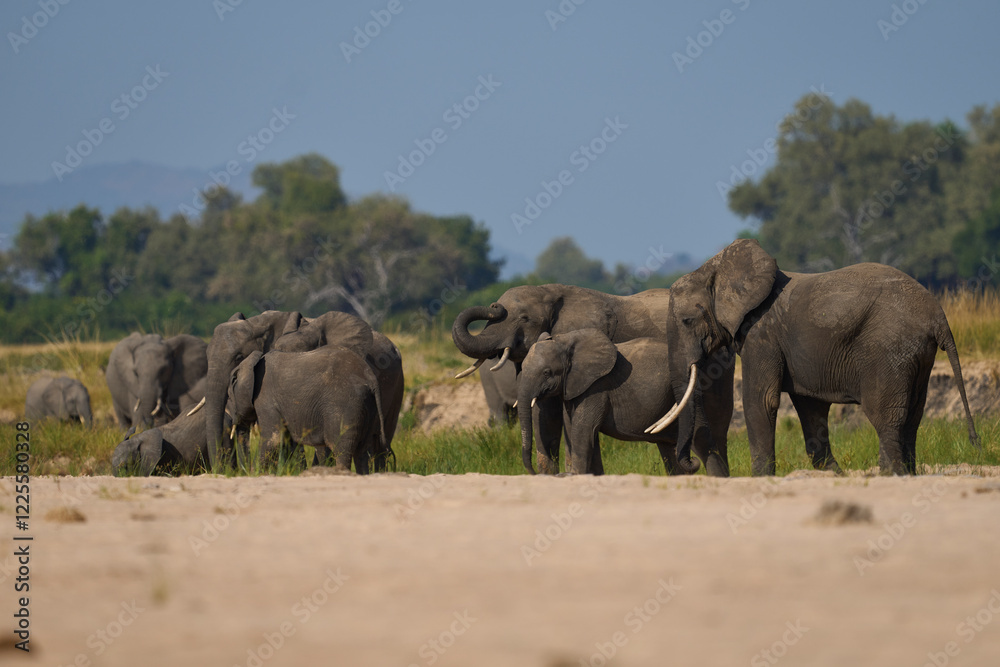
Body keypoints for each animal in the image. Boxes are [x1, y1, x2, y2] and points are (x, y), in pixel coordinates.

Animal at [228, 347, 387, 473]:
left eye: (229, 398)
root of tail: (370, 378)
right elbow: (287, 440)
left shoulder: (265, 399)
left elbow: (273, 439)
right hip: (368, 407)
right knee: (362, 452)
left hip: (345, 405)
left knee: (342, 450)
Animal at [518, 329, 694, 475]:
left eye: (546, 373)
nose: (534, 473)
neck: (566, 340)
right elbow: (579, 429)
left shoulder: (597, 387)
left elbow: (582, 430)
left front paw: (574, 475)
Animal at [648, 239, 980, 476]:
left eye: (687, 321)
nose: (690, 465)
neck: (715, 269)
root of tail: (938, 315)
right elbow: (811, 407)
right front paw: (834, 474)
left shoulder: (761, 335)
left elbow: (762, 400)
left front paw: (762, 478)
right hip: (918, 357)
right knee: (912, 416)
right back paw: (905, 475)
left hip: (890, 350)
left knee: (886, 417)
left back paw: (891, 475)